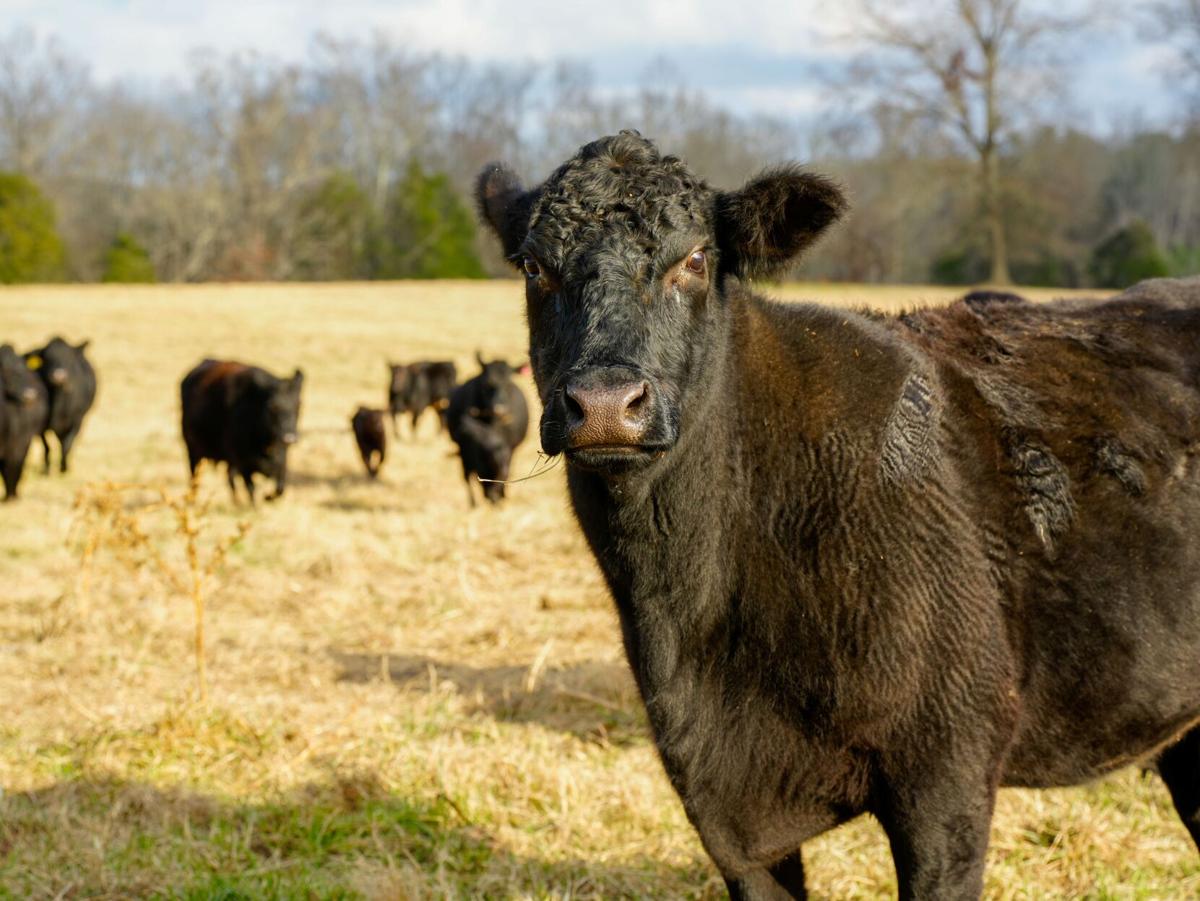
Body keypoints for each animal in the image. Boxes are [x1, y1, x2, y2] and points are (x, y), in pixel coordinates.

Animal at [0, 344, 47, 501]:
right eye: (5, 369)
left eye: (22, 365)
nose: (29, 395)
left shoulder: (18, 444)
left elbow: (13, 468)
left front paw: (11, 497)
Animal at [24, 336, 97, 474]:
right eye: (47, 358)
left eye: (68, 358)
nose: (59, 376)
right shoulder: (41, 426)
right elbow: (46, 446)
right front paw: (46, 469)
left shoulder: (76, 421)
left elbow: (67, 445)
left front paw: (64, 468)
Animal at [180, 359, 303, 504]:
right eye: (272, 406)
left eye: (298, 405)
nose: (289, 438)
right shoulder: (243, 462)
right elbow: (251, 489)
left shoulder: (282, 461)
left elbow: (280, 488)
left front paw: (267, 497)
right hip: (192, 450)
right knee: (194, 476)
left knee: (229, 476)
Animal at [446, 354, 529, 506]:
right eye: (487, 384)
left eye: (508, 384)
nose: (499, 410)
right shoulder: (470, 452)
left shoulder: (508, 452)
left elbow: (504, 474)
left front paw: (499, 496)